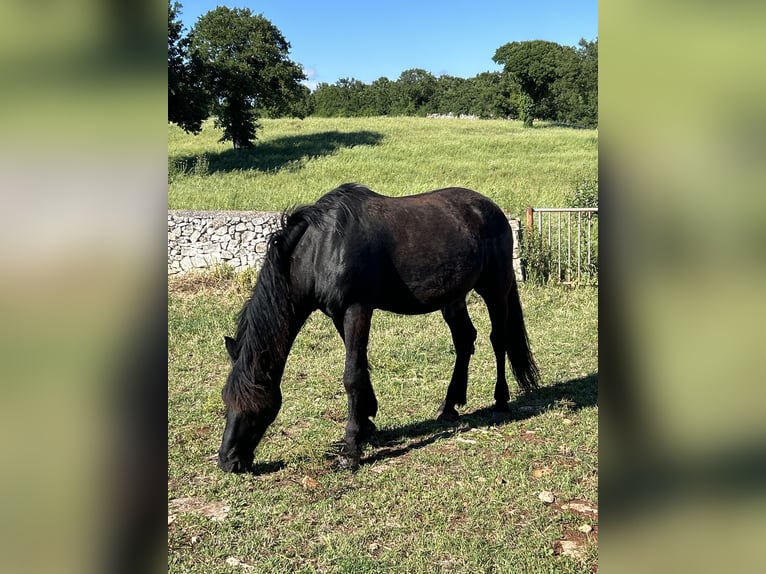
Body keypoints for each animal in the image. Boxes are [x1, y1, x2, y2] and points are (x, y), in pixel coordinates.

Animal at [217, 183, 540, 472]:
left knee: (499, 340)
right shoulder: (339, 315)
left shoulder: (357, 309)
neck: (322, 247)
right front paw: (366, 425)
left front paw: (351, 449)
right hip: (453, 298)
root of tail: (493, 209)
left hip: (495, 289)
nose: (227, 461)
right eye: (225, 399)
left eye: (252, 404)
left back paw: (500, 402)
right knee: (464, 340)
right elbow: (361, 368)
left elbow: (351, 376)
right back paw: (449, 406)